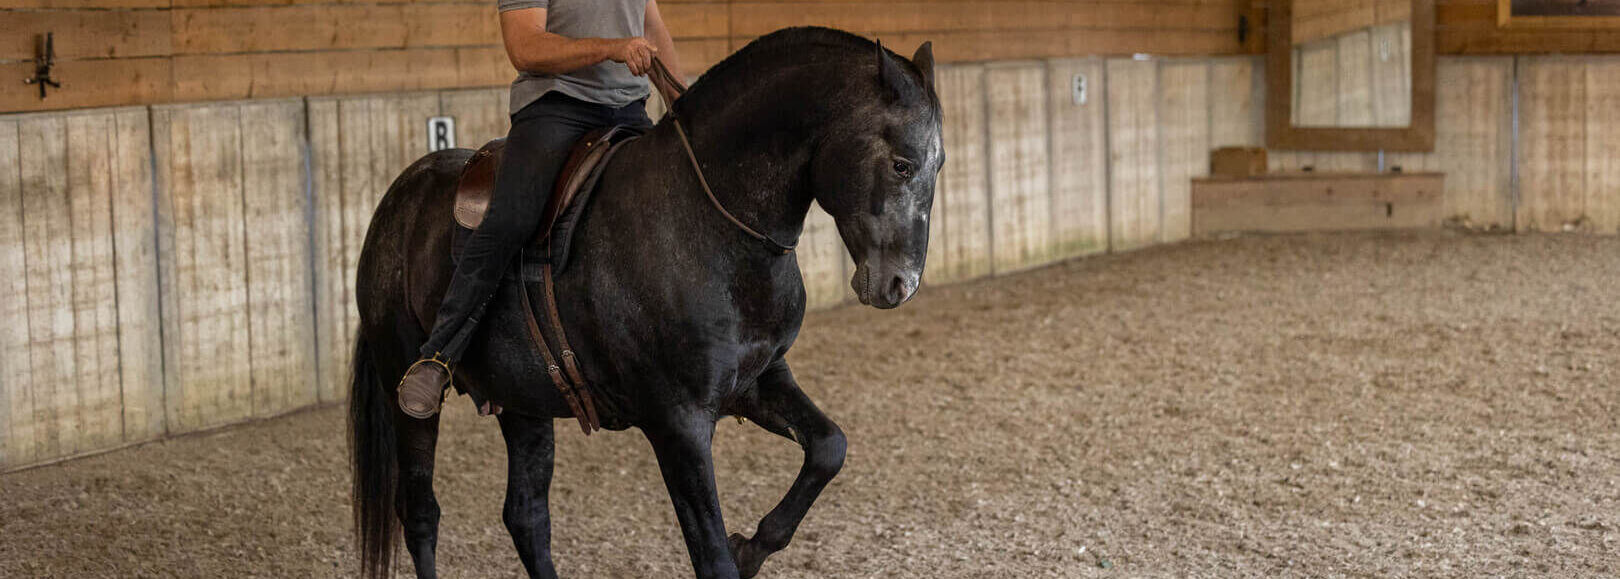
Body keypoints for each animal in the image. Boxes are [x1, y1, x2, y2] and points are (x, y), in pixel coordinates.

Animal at [348, 28, 946, 577]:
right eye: (901, 163)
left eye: (938, 166)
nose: (901, 284)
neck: (709, 221)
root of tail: (397, 199)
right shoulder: (677, 424)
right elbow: (711, 557)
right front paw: (735, 550)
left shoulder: (757, 381)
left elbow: (828, 448)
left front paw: (750, 547)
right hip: (408, 394)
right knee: (421, 514)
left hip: (523, 402)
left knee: (526, 516)